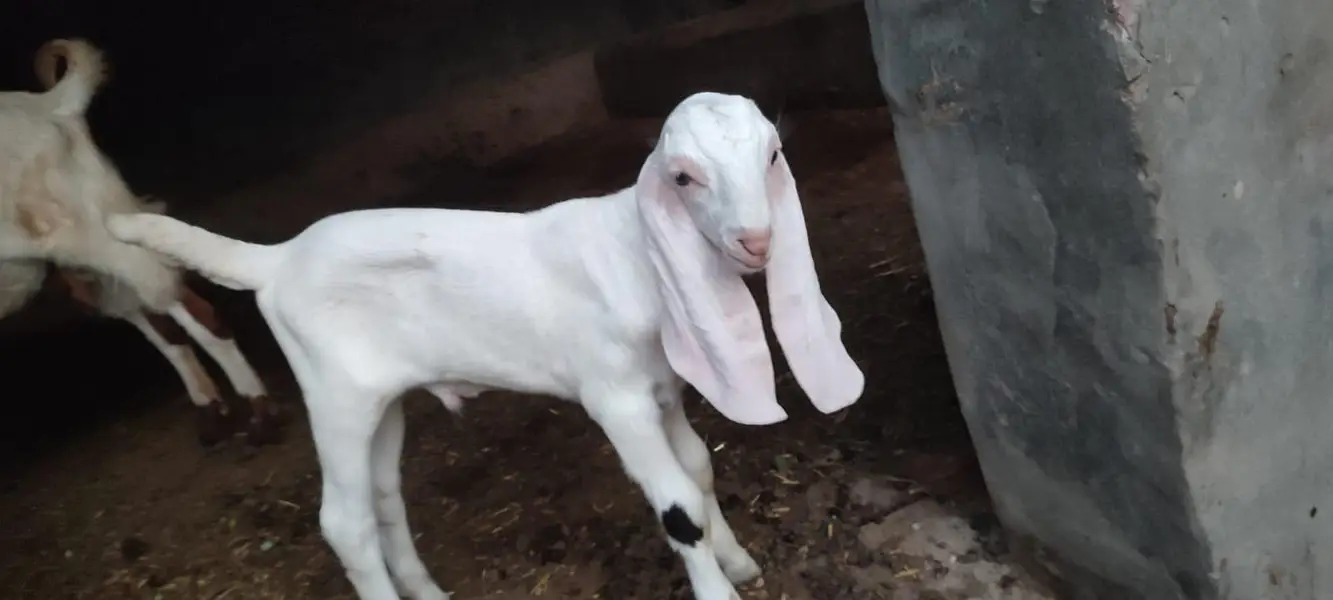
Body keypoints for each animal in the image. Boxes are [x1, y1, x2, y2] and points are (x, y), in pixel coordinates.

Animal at [0, 38, 280, 445]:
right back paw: (212, 412)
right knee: (154, 320)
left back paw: (259, 413)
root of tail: (50, 103)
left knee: (195, 314)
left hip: (105, 240)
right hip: (87, 263)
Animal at [108, 91, 865, 600]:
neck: (632, 252)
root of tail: (277, 259)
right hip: (334, 394)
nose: (757, 241)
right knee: (344, 523)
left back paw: (427, 593)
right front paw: (717, 585)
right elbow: (677, 506)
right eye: (683, 176)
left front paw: (737, 560)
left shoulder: (661, 388)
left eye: (771, 154)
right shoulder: (614, 397)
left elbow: (698, 470)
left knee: (383, 498)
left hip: (382, 400)